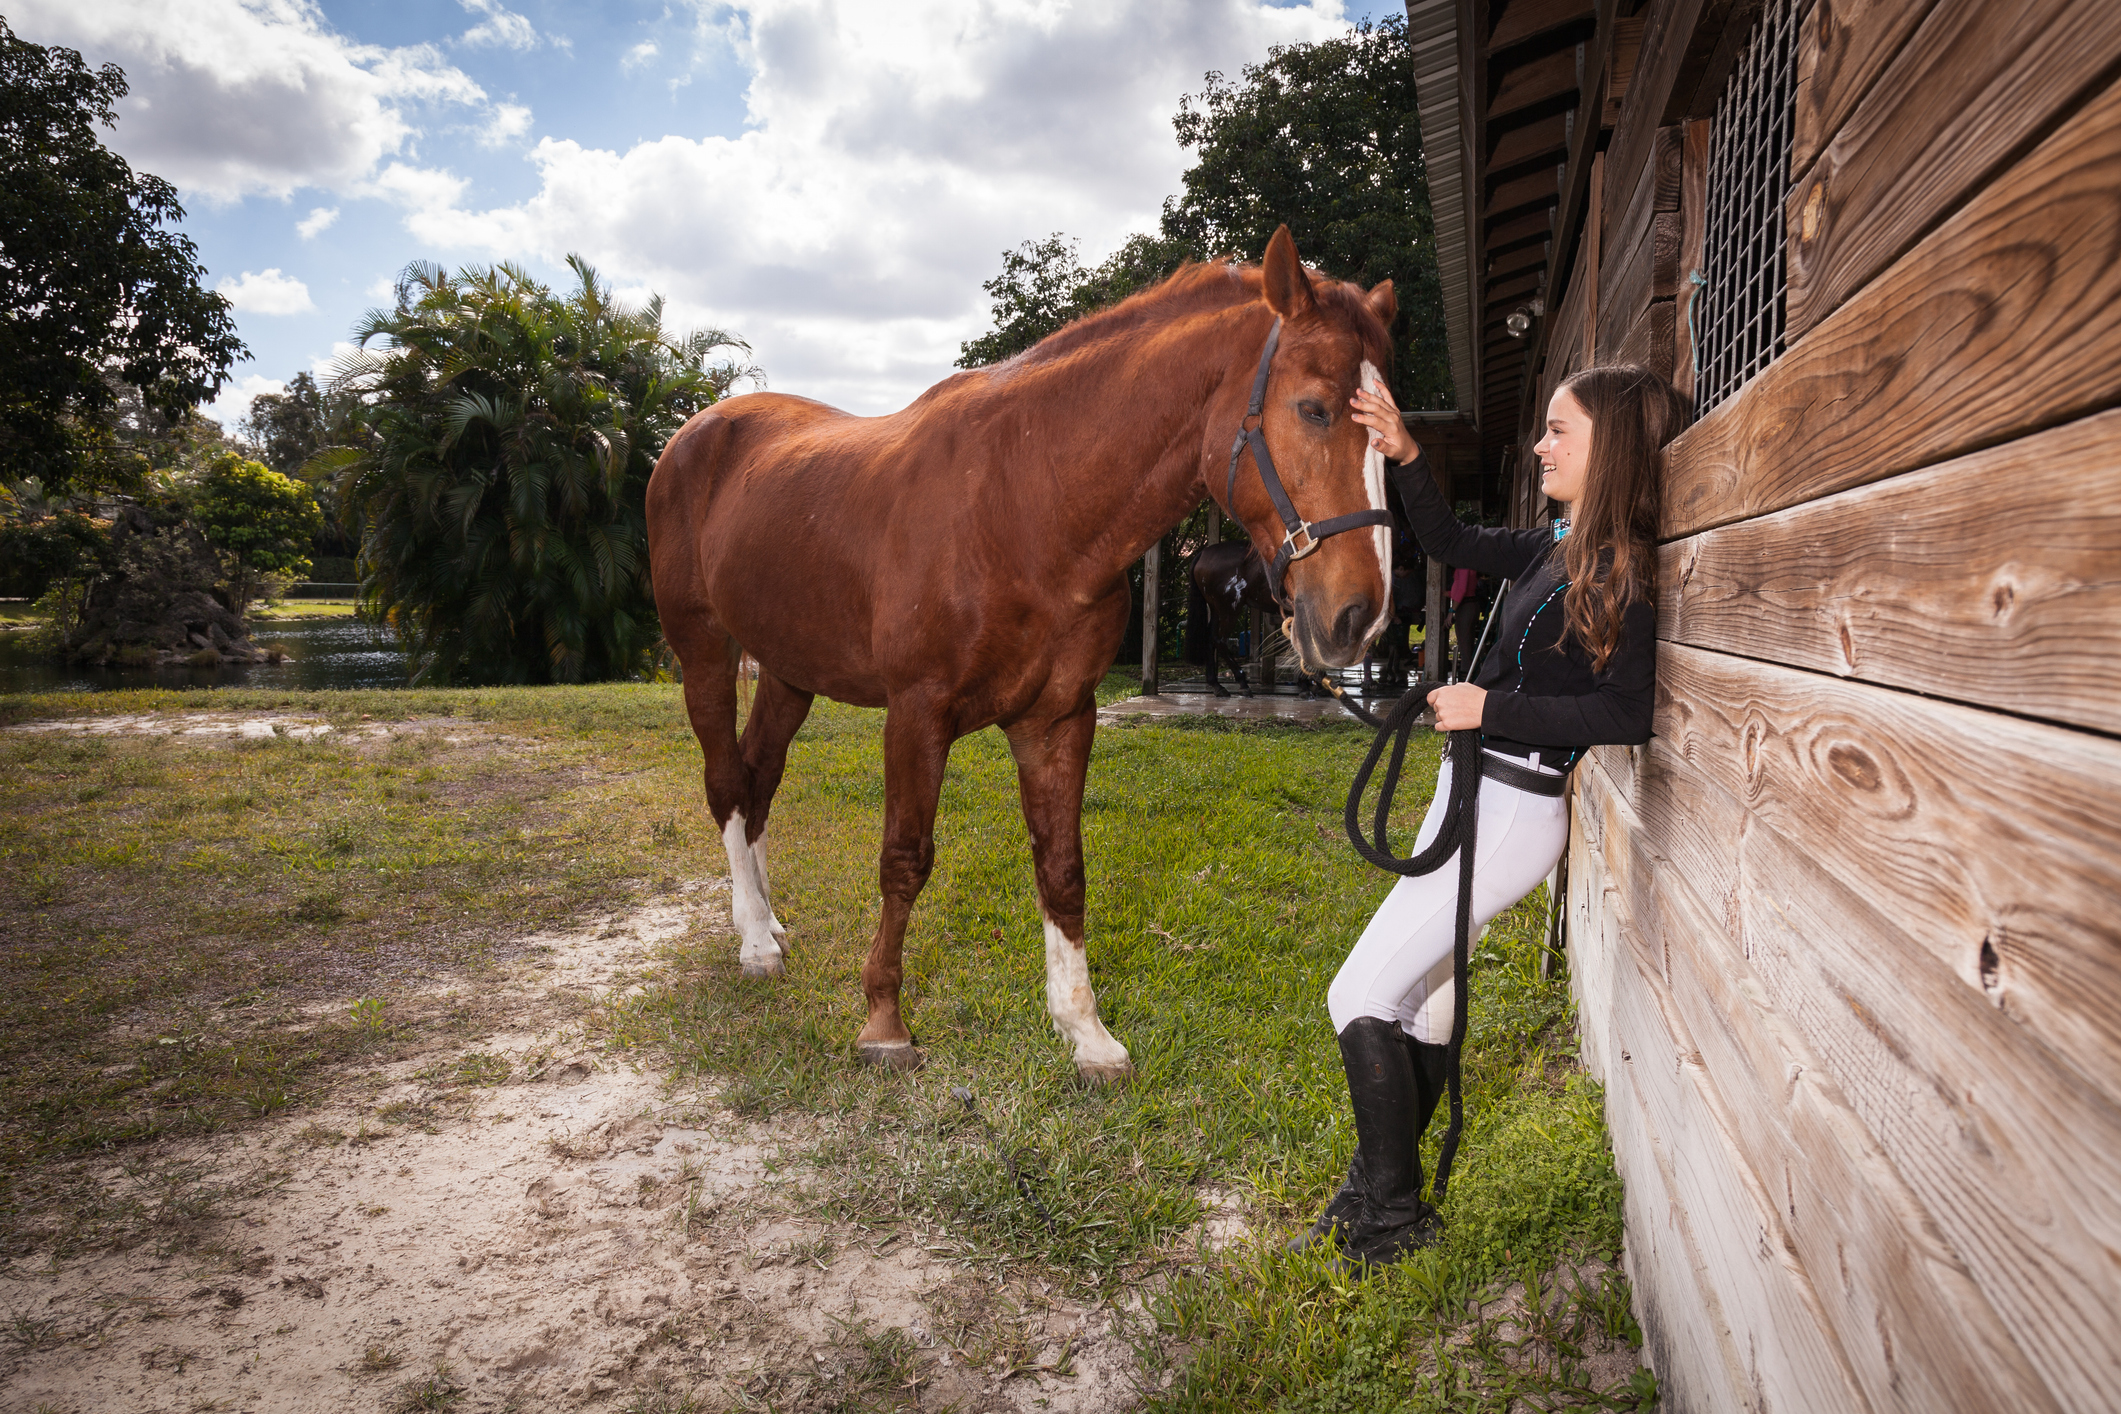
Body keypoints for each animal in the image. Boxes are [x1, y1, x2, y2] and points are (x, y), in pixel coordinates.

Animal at [645, 226, 1396, 1080]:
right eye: (1313, 408)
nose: (1358, 617)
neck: (1024, 502)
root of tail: (693, 434)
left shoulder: (1058, 719)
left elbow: (1061, 868)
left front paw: (1084, 1031)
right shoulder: (916, 714)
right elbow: (904, 858)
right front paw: (884, 1022)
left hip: (788, 670)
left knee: (757, 780)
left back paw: (768, 923)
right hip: (703, 650)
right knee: (725, 782)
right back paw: (751, 941)